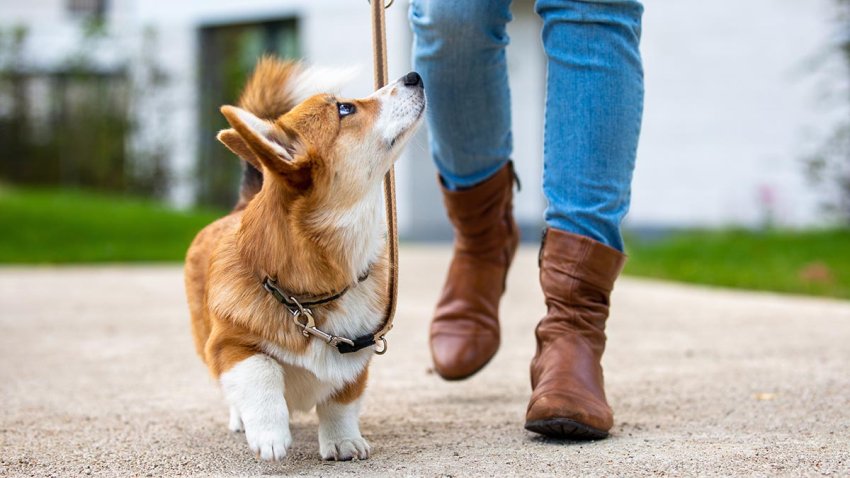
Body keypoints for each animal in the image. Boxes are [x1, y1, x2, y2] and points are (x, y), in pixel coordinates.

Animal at [184, 57, 424, 464]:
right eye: (345, 109)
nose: (414, 76)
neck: (309, 297)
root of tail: (241, 204)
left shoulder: (357, 354)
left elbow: (340, 401)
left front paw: (343, 442)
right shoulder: (228, 346)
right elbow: (262, 370)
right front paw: (270, 434)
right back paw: (241, 419)